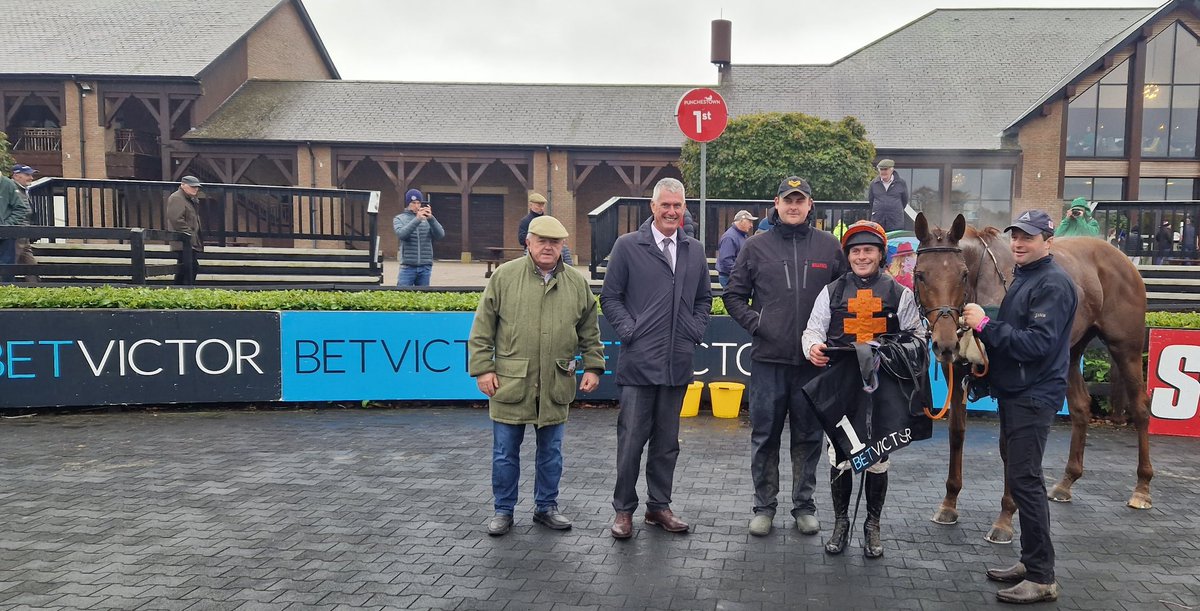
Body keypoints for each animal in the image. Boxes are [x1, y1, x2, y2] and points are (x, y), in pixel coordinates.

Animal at [916, 212, 1152, 540]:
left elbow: (1009, 445)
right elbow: (956, 434)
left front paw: (1005, 517)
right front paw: (949, 503)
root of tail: (1121, 257)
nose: (946, 343)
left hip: (1126, 347)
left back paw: (1142, 488)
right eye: (920, 274)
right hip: (1071, 351)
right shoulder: (960, 372)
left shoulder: (1004, 384)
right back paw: (1066, 482)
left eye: (962, 274)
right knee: (1081, 407)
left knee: (1141, 409)